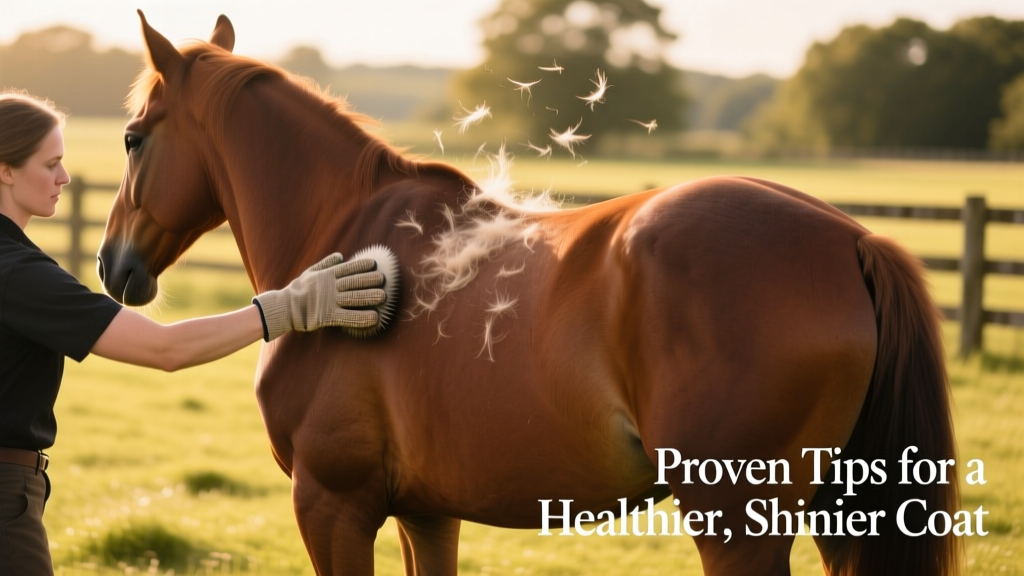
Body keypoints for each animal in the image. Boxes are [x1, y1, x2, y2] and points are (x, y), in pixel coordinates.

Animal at [97, 13, 961, 576]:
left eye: (134, 137)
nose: (112, 266)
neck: (344, 231)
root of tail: (849, 239)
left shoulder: (332, 505)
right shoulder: (426, 512)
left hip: (736, 525)